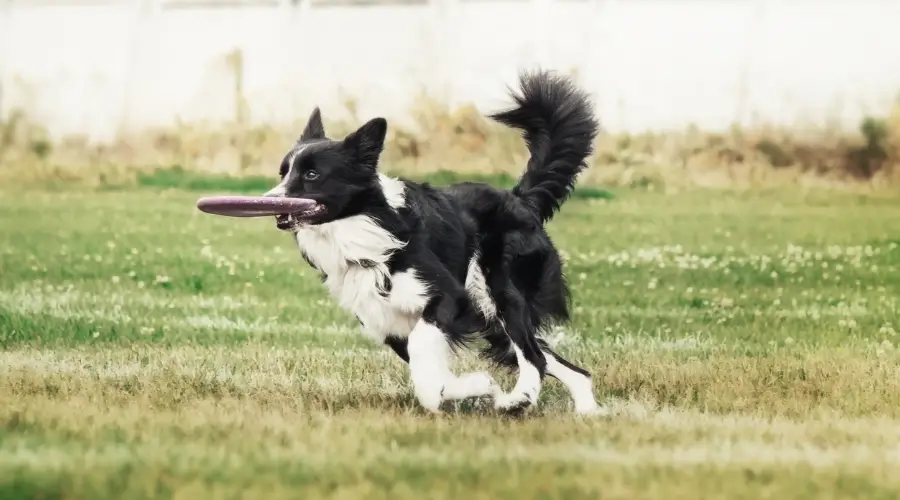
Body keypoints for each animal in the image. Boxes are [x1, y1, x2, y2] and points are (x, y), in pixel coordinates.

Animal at [268, 70, 604, 414]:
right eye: (283, 173)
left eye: (311, 174)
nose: (270, 199)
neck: (365, 231)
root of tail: (519, 199)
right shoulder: (387, 321)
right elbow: (429, 378)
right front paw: (477, 387)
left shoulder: (449, 297)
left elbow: (423, 354)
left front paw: (482, 390)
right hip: (493, 321)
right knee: (562, 364)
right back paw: (586, 411)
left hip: (499, 291)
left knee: (534, 356)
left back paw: (519, 399)